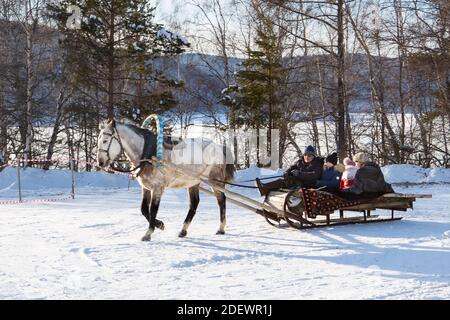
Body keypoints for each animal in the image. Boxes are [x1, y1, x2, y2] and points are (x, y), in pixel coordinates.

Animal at [96, 119, 236, 241]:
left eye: (105, 140)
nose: (100, 162)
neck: (148, 154)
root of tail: (219, 146)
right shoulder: (146, 188)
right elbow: (143, 209)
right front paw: (159, 224)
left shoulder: (158, 188)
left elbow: (153, 209)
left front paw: (148, 233)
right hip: (193, 182)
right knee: (194, 203)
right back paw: (183, 230)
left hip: (215, 180)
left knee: (221, 200)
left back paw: (221, 228)